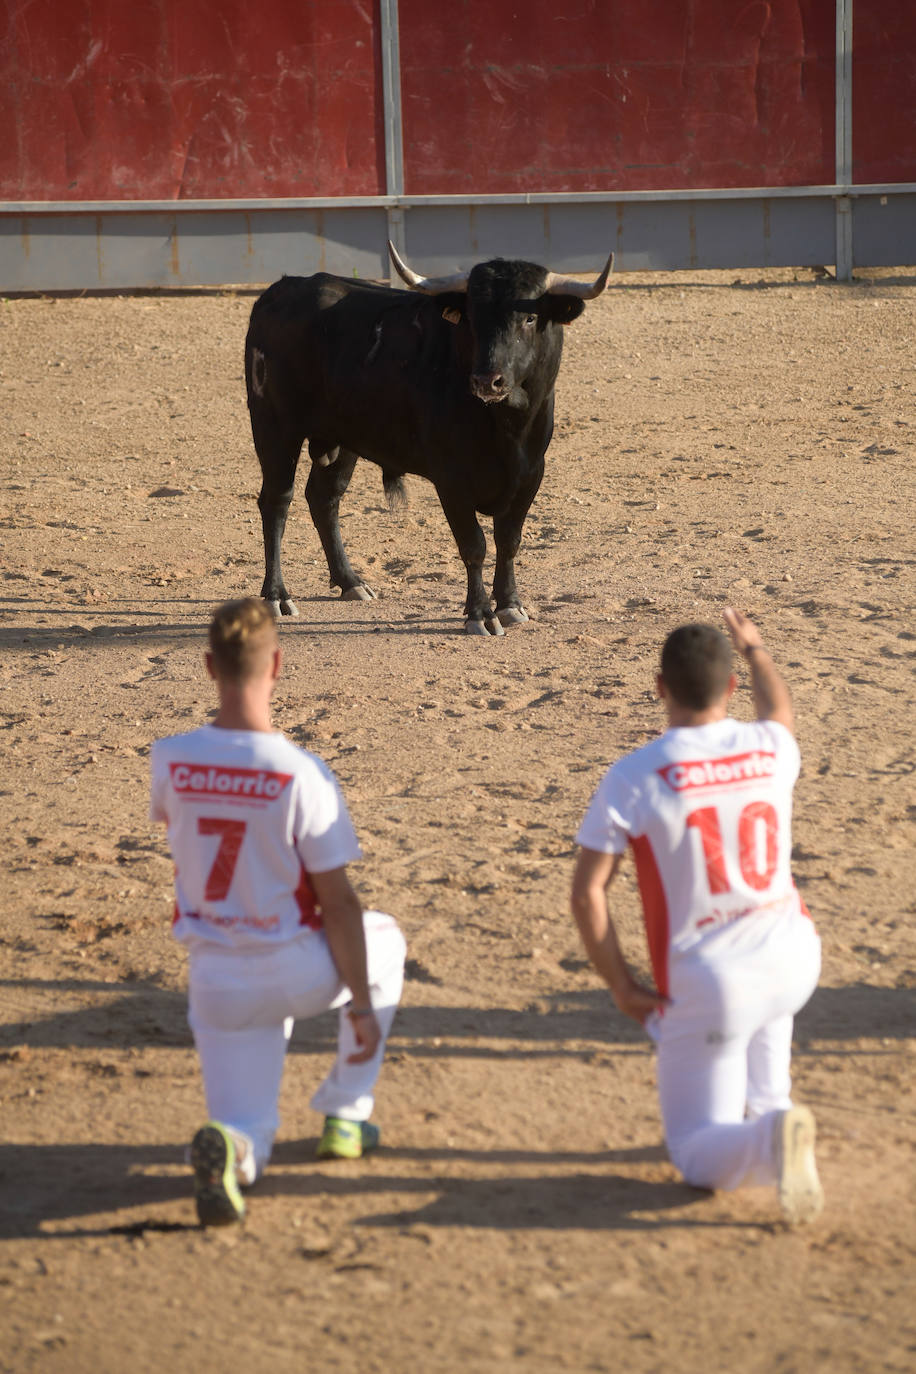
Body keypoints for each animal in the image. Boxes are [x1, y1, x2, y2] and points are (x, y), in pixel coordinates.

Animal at [247, 240, 612, 632]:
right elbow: (474, 545)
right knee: (277, 501)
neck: (506, 426)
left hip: (342, 440)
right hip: (274, 428)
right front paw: (480, 614)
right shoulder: (451, 479)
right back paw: (277, 595)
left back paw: (351, 582)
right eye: (472, 316)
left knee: (324, 498)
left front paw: (510, 604)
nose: (487, 380)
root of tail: (282, 289)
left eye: (529, 318)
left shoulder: (530, 475)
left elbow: (509, 540)